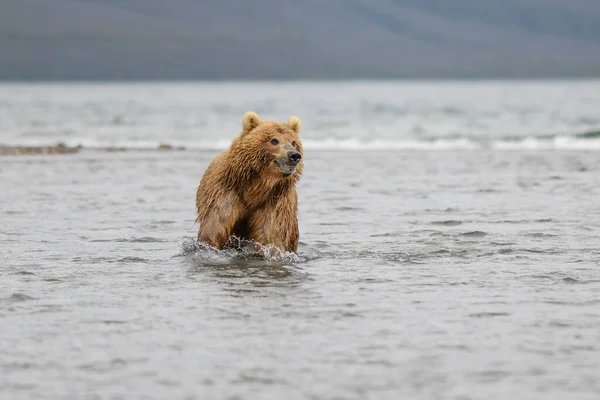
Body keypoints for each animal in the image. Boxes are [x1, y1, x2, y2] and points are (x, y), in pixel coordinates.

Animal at [195, 110, 302, 253]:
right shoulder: (225, 192)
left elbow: (270, 235)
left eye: (294, 142)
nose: (294, 155)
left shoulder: (274, 202)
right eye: (274, 140)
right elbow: (215, 228)